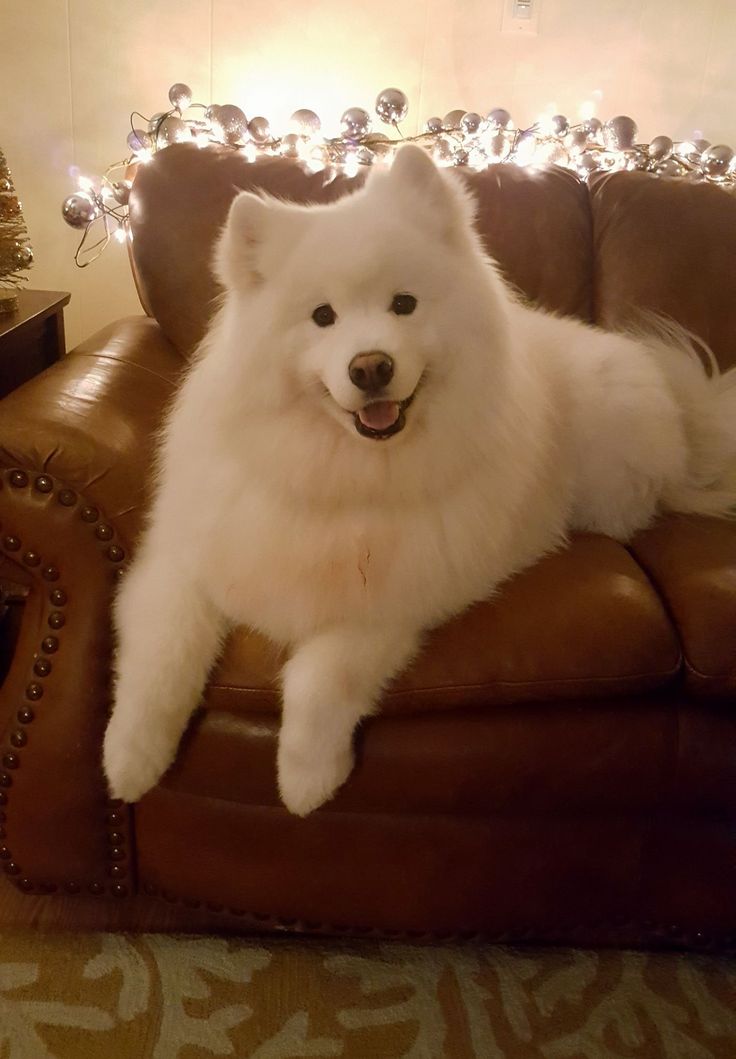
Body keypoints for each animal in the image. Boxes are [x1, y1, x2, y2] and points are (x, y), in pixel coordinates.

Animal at [103, 145, 736, 813]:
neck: (342, 472)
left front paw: (306, 780)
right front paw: (129, 764)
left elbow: (319, 682)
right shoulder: (185, 561)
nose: (370, 367)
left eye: (403, 304)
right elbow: (160, 660)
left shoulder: (389, 600)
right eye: (322, 317)